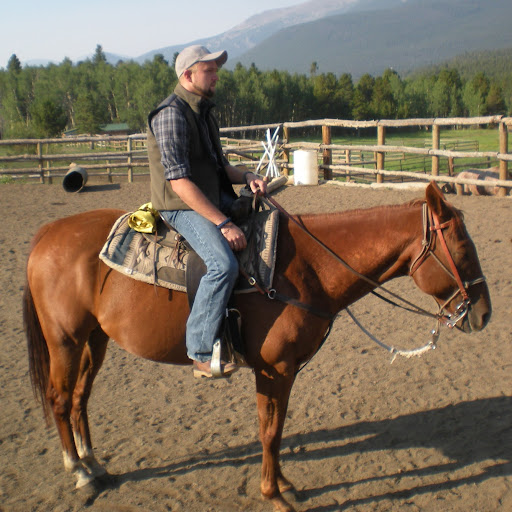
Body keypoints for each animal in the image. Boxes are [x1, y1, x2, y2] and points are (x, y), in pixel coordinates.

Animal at [24, 182, 492, 510]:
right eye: (463, 247)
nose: (484, 313)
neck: (307, 268)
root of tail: (47, 233)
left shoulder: (286, 372)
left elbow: (279, 427)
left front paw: (283, 483)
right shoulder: (274, 369)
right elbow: (269, 430)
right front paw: (274, 494)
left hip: (94, 339)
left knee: (80, 398)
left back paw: (94, 464)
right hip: (65, 340)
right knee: (60, 399)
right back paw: (79, 472)